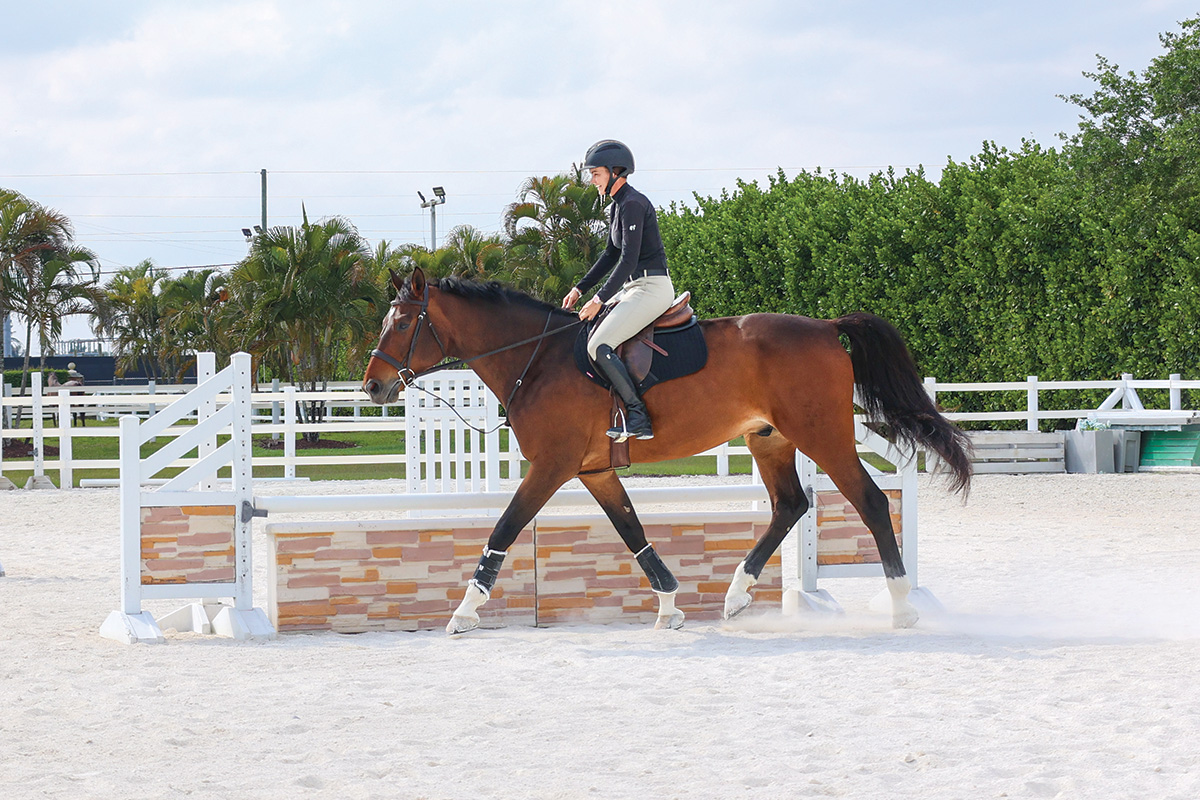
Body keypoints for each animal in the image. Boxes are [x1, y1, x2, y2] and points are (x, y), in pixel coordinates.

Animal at [360, 272, 969, 633]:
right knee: (791, 506)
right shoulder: (594, 471)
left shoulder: (551, 468)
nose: (371, 387)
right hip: (769, 438)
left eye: (403, 322)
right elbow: (633, 533)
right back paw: (736, 595)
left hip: (824, 436)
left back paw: (900, 606)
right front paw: (671, 606)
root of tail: (824, 326)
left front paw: (464, 611)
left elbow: (504, 530)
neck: (536, 359)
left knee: (870, 502)